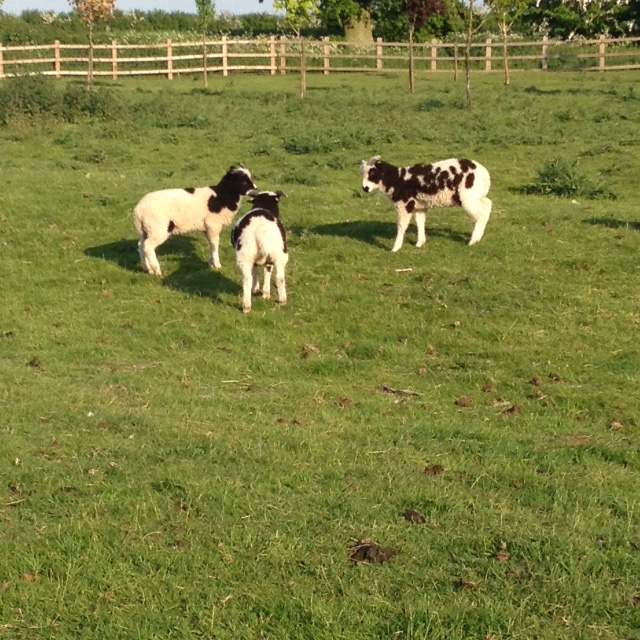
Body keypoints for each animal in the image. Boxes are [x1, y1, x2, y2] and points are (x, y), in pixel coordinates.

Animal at [359, 156, 492, 252]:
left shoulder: (405, 204)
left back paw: (473, 240)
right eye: (362, 174)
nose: (365, 188)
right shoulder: (419, 206)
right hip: (476, 195)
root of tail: (484, 174)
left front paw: (395, 248)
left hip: (467, 196)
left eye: (372, 173)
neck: (396, 180)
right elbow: (420, 222)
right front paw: (420, 243)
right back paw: (478, 237)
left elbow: (402, 226)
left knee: (480, 214)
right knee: (487, 205)